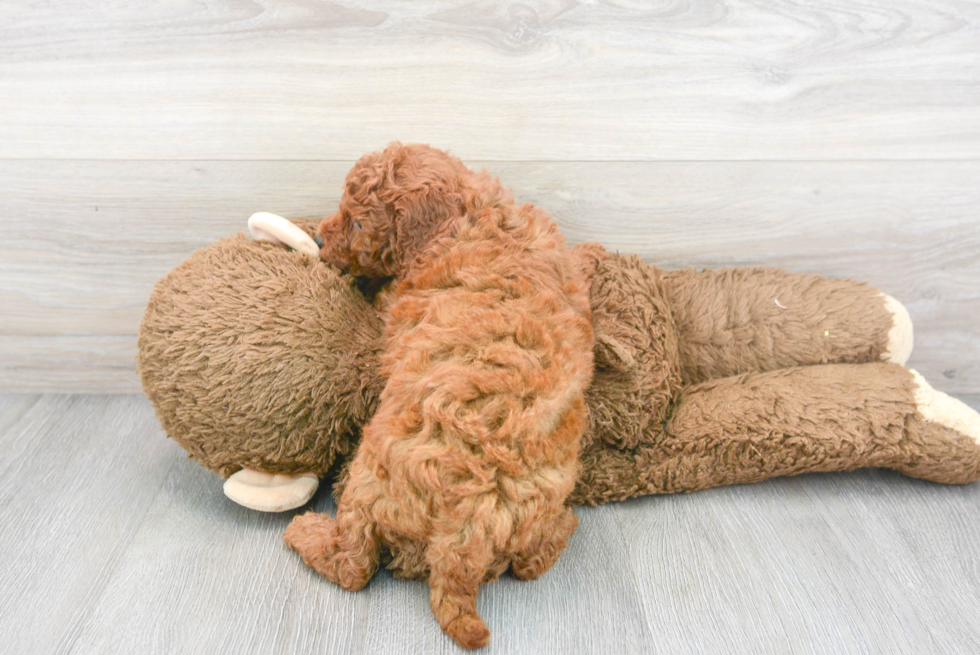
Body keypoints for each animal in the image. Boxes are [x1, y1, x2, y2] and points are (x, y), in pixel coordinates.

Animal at [280, 145, 592, 652]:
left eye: (358, 223)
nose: (321, 239)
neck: (471, 214)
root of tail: (461, 538)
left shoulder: (394, 305)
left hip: (371, 483)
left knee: (353, 563)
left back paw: (307, 531)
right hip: (543, 497)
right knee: (530, 564)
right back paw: (561, 528)